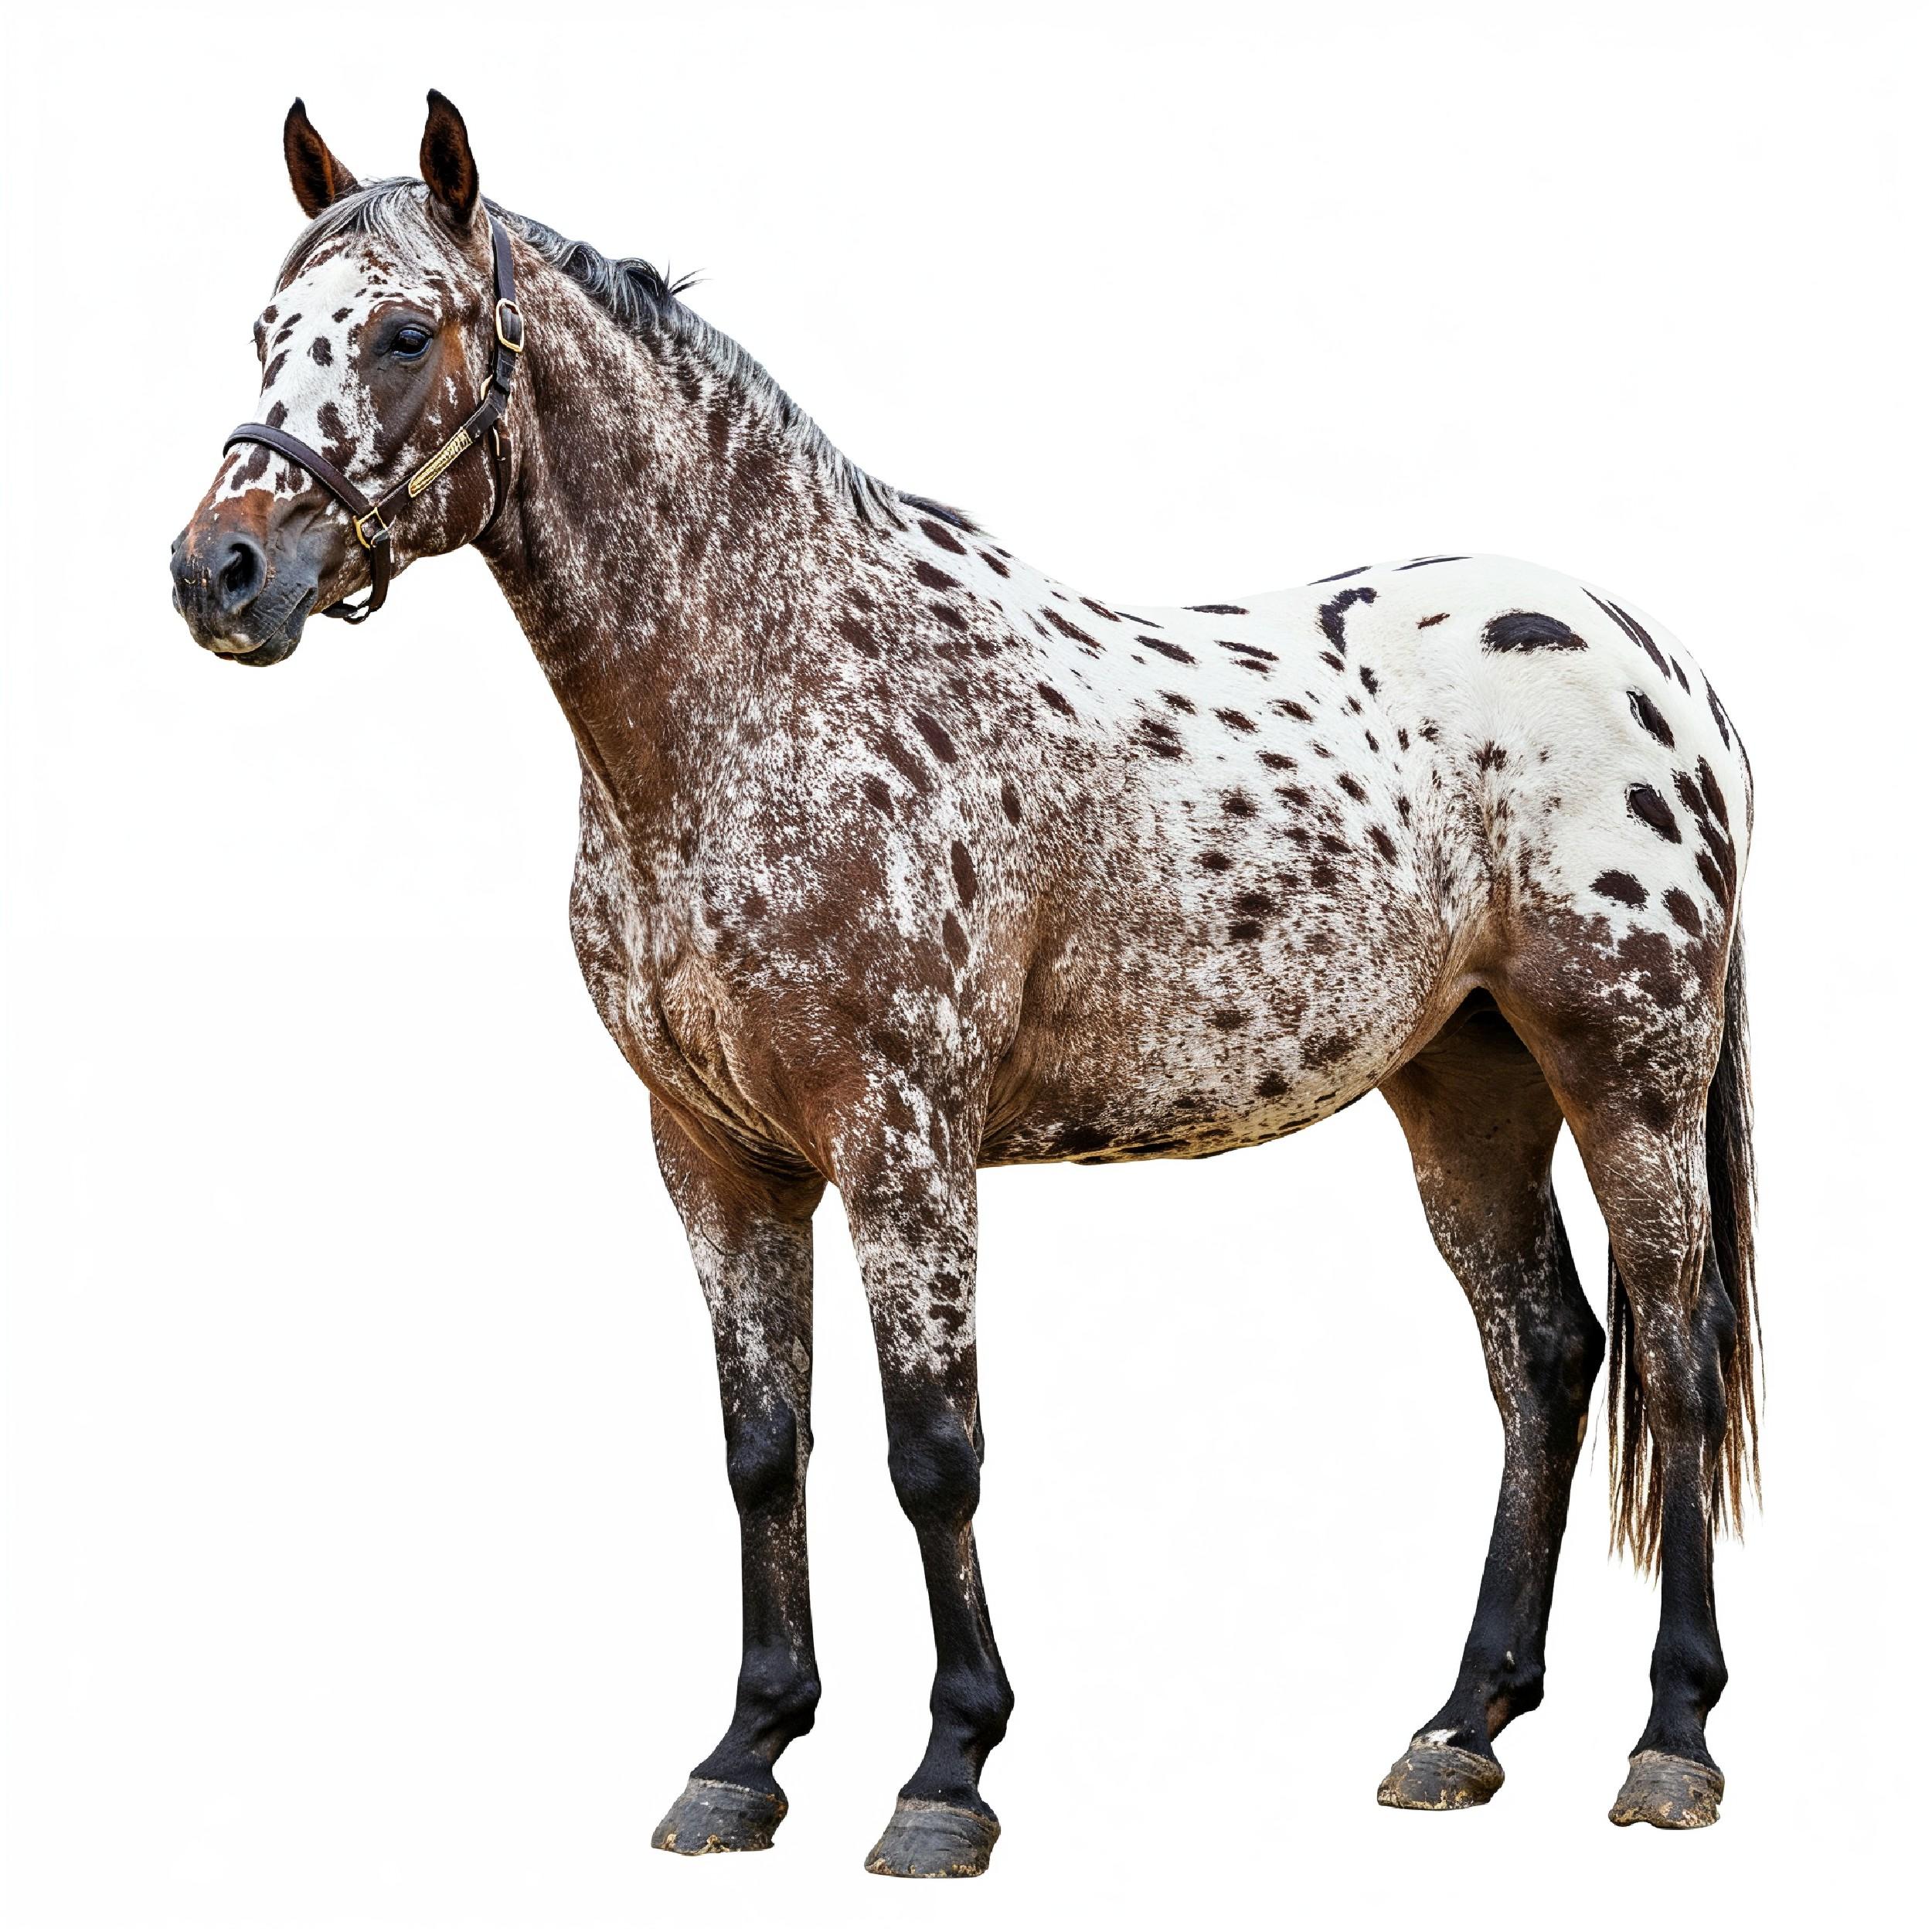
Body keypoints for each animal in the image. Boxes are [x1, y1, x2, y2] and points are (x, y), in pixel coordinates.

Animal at [171, 93, 1760, 1875]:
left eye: (399, 331)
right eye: (264, 331)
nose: (220, 571)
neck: (769, 690)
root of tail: (1654, 660)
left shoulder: (901, 1139)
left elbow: (933, 1452)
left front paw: (946, 1773)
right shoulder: (712, 1157)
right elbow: (761, 1451)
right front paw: (743, 1756)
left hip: (1628, 1072)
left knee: (1675, 1355)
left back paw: (1671, 1742)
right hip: (1462, 1085)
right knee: (1544, 1360)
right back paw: (1459, 1726)